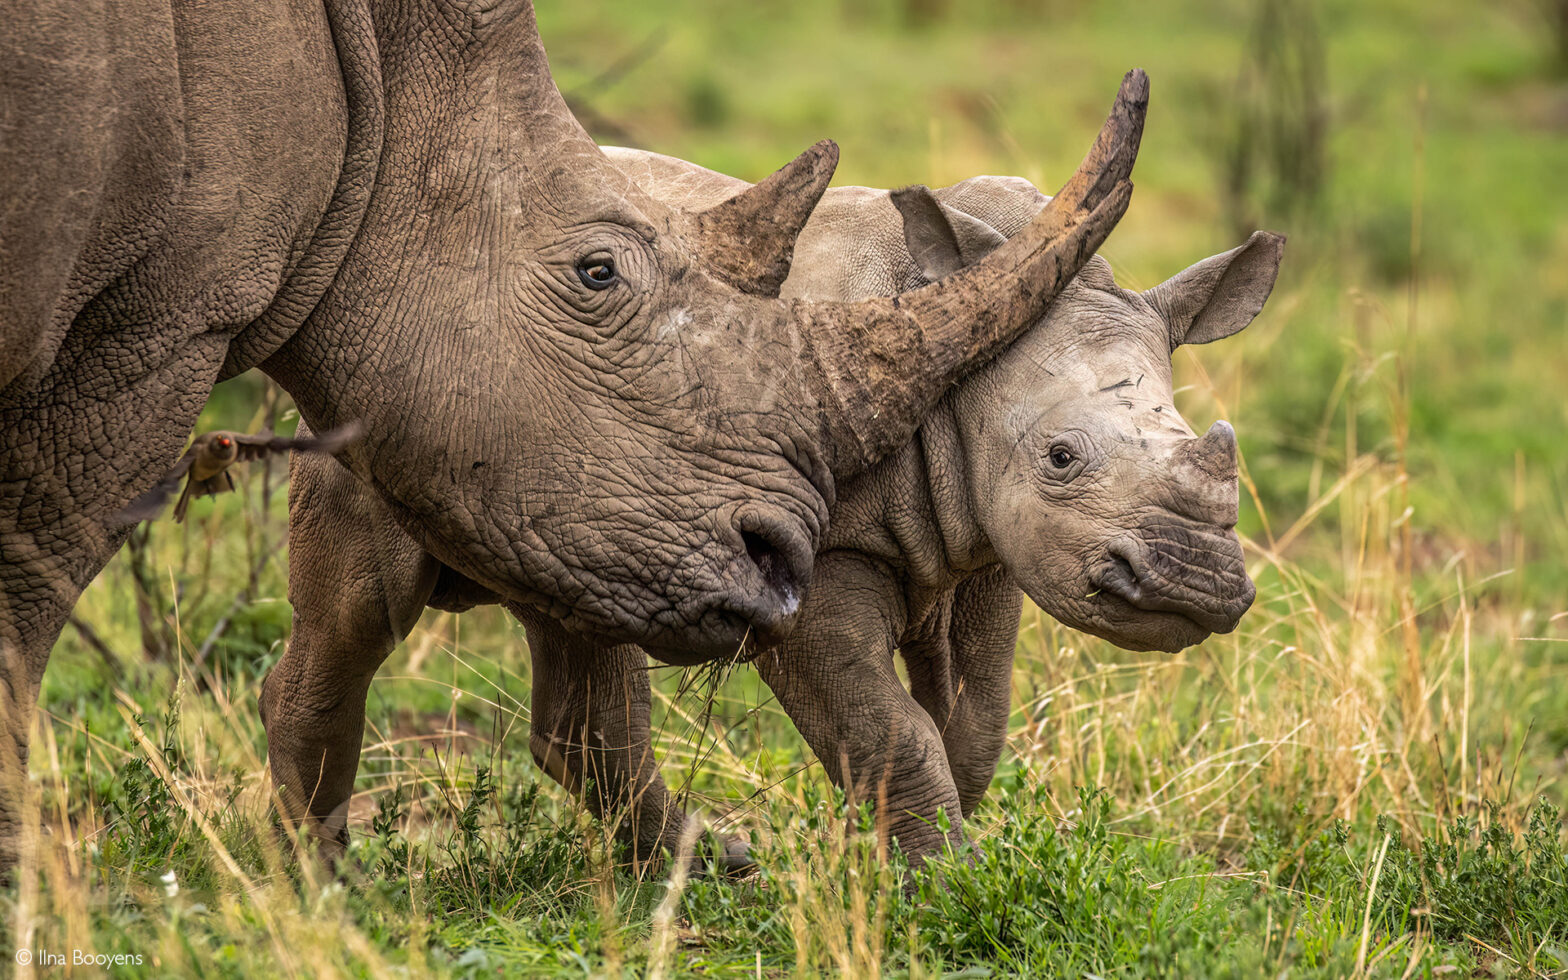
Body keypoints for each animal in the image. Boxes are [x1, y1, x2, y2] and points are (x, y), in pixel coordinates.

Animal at [0, 0, 1143, 865]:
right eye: (597, 274)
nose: (782, 558)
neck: (382, 77)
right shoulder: (150, 321)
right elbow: (32, 573)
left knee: (576, 604)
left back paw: (705, 870)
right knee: (359, 611)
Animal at [270, 152, 1277, 869]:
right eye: (1061, 458)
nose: (1195, 586)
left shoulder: (992, 551)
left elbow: (972, 725)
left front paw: (892, 862)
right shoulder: (809, 558)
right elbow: (892, 731)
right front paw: (942, 884)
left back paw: (709, 870)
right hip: (391, 379)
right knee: (356, 618)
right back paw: (324, 887)